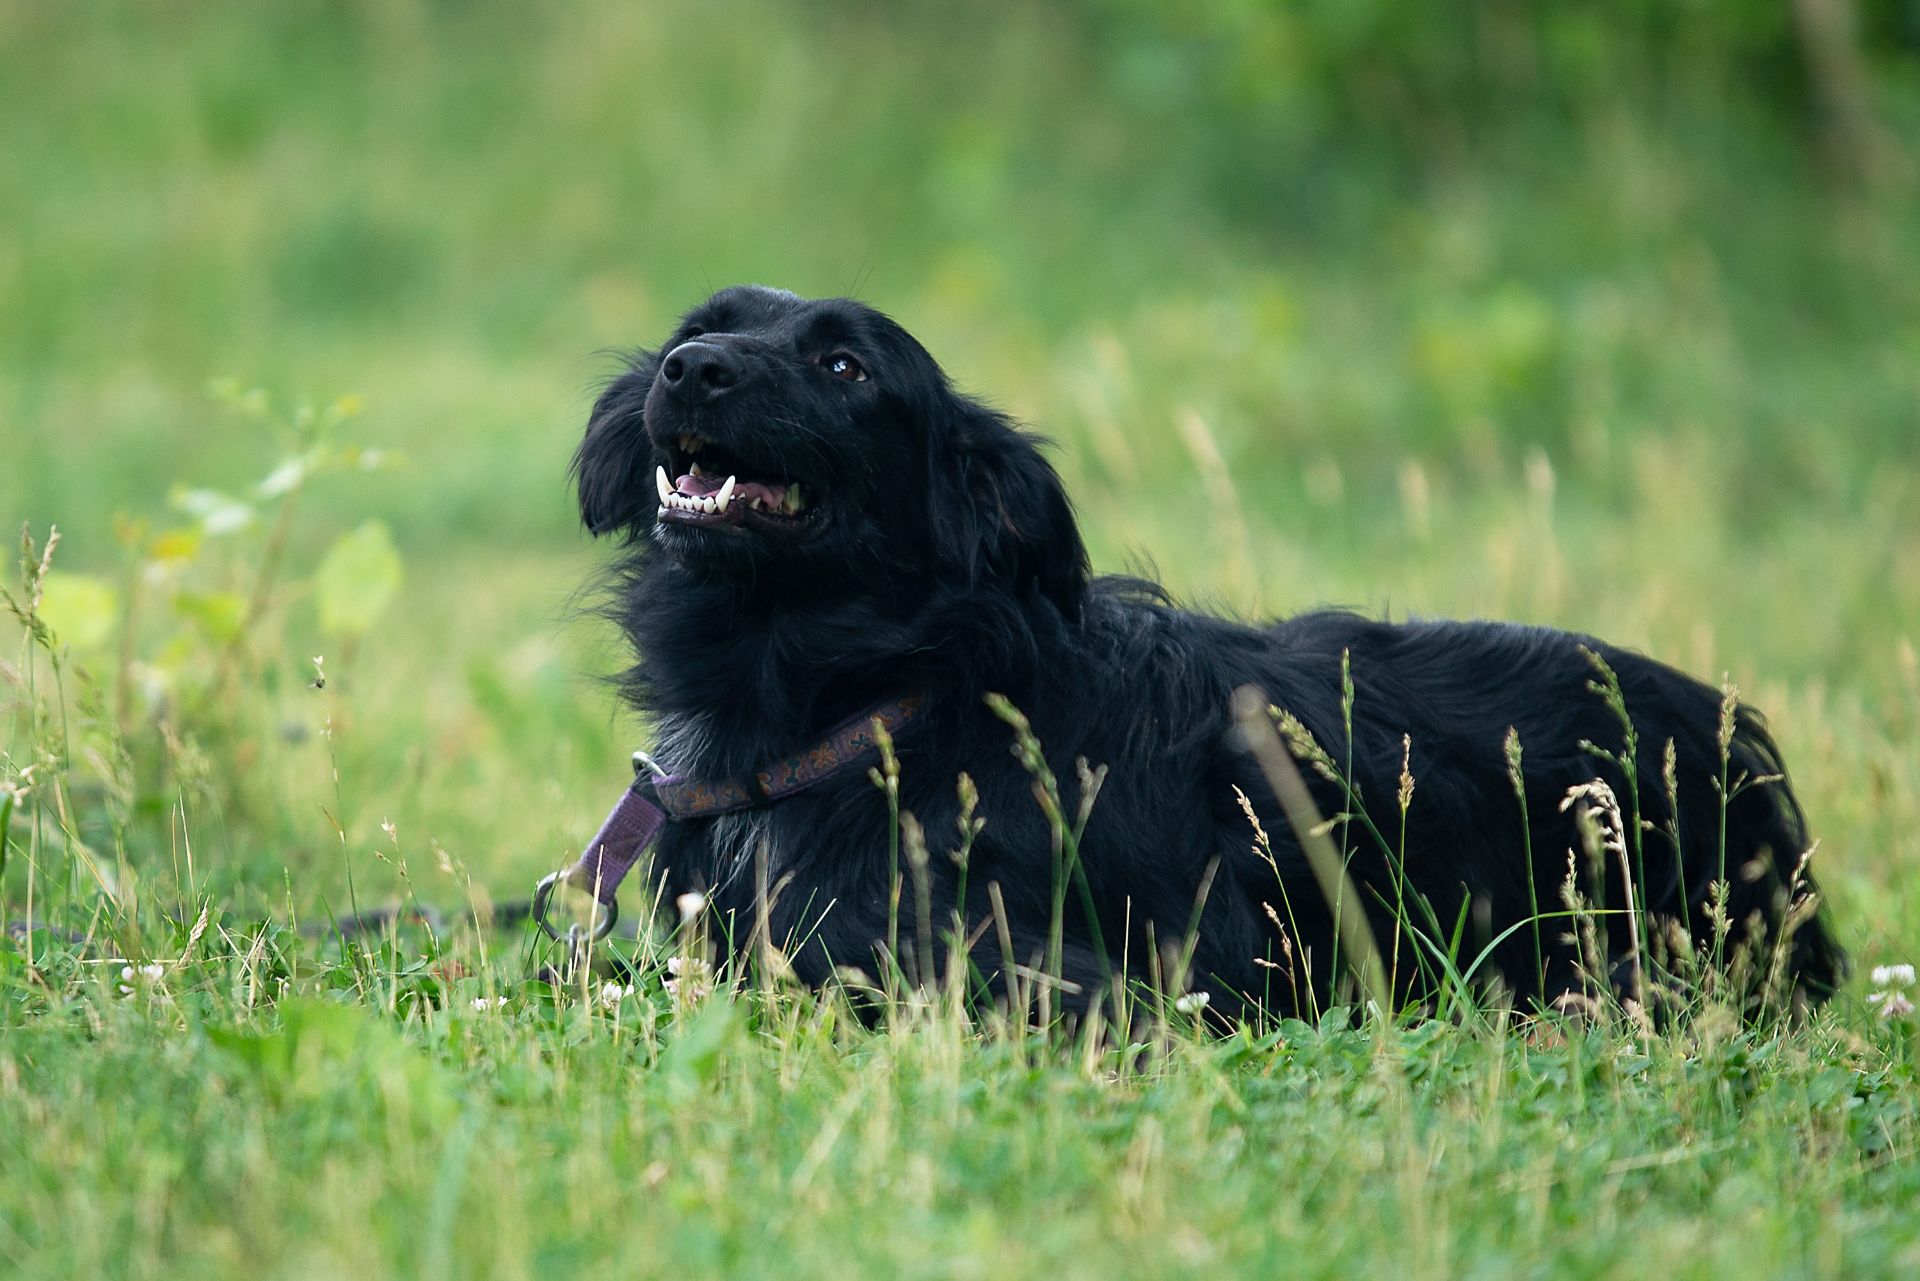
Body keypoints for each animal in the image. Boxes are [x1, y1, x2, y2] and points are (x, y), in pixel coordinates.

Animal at [572, 282, 1843, 1021]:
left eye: (846, 368)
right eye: (699, 330)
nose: (692, 369)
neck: (878, 698)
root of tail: (1738, 740)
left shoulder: (1092, 982)